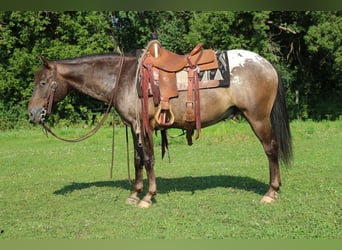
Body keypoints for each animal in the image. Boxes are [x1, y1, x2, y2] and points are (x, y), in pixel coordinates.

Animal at [28, 47, 292, 209]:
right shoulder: (134, 127)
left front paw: (147, 197)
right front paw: (134, 195)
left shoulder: (143, 126)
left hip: (258, 118)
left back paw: (271, 192)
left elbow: (148, 159)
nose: (32, 113)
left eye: (43, 82)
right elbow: (137, 160)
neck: (123, 78)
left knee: (271, 149)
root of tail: (266, 63)